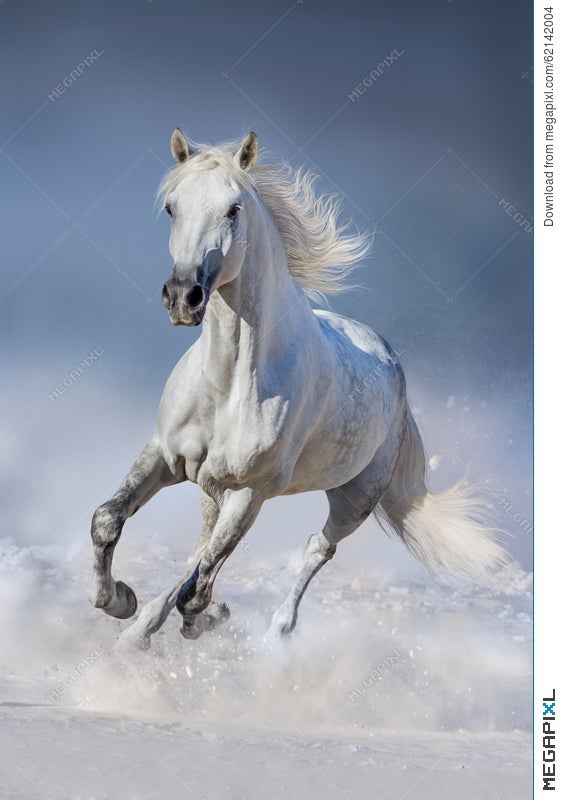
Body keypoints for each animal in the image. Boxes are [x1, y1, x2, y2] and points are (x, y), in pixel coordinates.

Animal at [91, 128, 506, 648]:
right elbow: (108, 521)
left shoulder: (250, 492)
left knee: (315, 549)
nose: (183, 296)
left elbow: (198, 588)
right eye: (171, 207)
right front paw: (120, 602)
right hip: (213, 487)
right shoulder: (165, 455)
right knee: (201, 547)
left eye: (233, 208)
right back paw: (142, 627)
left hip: (353, 499)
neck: (229, 384)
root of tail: (392, 366)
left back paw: (277, 630)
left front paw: (200, 618)